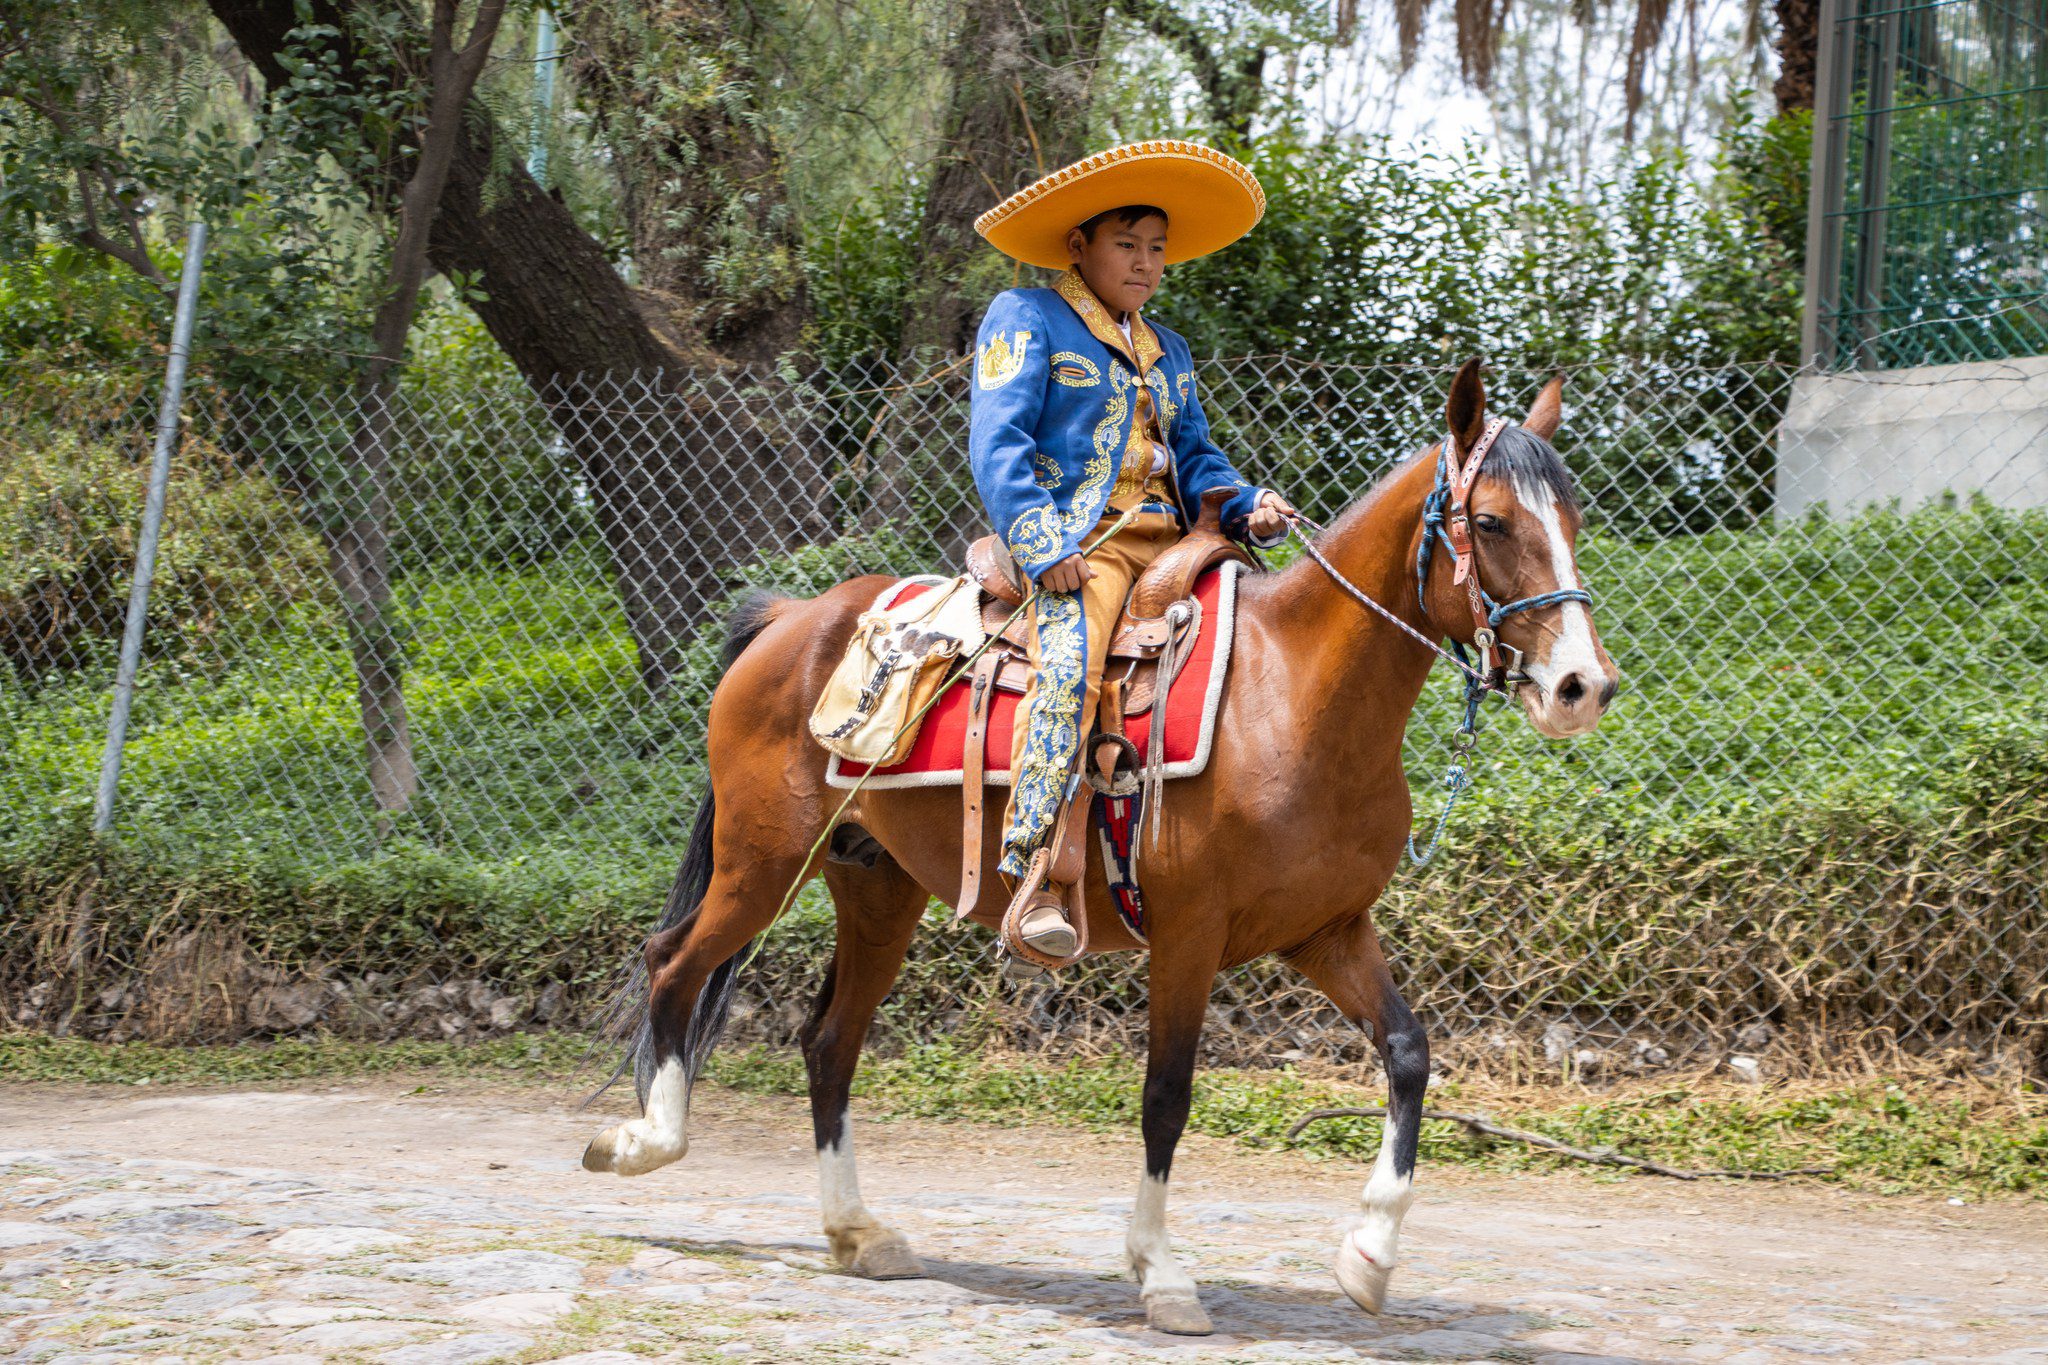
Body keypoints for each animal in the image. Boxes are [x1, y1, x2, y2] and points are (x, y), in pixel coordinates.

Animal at [581, 360, 1613, 1334]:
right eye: (1490, 521)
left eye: (1571, 516)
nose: (1582, 685)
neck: (1291, 695)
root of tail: (792, 620)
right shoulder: (1189, 935)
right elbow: (1167, 1094)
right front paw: (1162, 1274)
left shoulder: (1327, 930)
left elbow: (1407, 1052)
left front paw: (1367, 1255)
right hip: (759, 865)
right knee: (672, 961)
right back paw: (638, 1143)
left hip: (876, 890)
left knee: (829, 1039)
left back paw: (858, 1232)